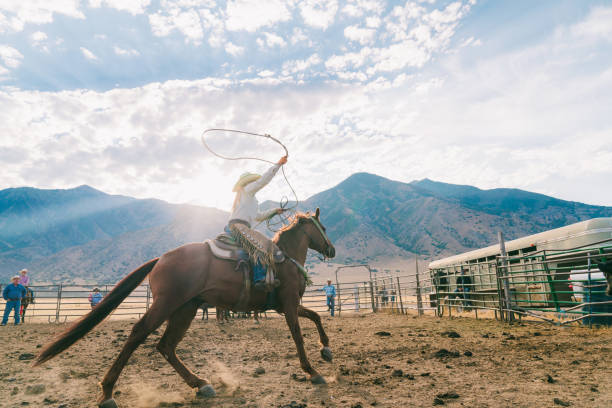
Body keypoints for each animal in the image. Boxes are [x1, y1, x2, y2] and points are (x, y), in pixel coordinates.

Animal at [35, 210, 334, 408]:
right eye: (323, 226)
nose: (331, 249)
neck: (285, 259)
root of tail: (160, 259)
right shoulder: (290, 305)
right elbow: (298, 336)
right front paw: (313, 371)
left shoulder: (287, 306)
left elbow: (316, 316)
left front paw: (327, 350)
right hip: (167, 305)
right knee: (138, 333)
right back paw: (107, 393)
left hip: (185, 310)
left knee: (166, 345)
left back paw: (201, 384)